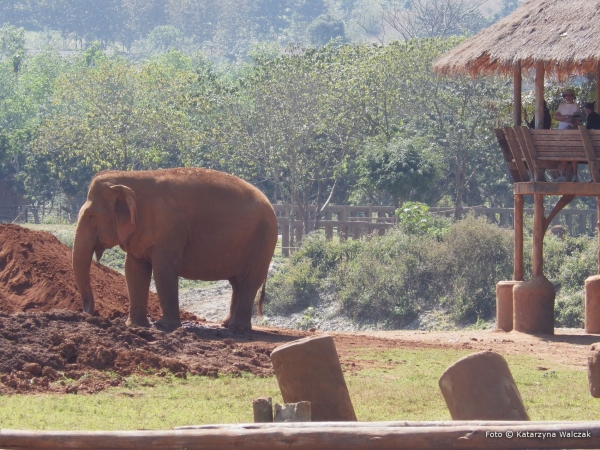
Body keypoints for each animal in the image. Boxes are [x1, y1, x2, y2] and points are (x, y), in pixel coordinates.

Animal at [71, 167, 278, 328]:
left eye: (91, 216)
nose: (88, 313)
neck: (131, 178)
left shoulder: (170, 228)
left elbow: (163, 269)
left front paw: (165, 325)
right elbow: (134, 269)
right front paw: (135, 325)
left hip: (264, 242)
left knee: (250, 281)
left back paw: (237, 328)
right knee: (237, 283)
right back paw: (226, 324)